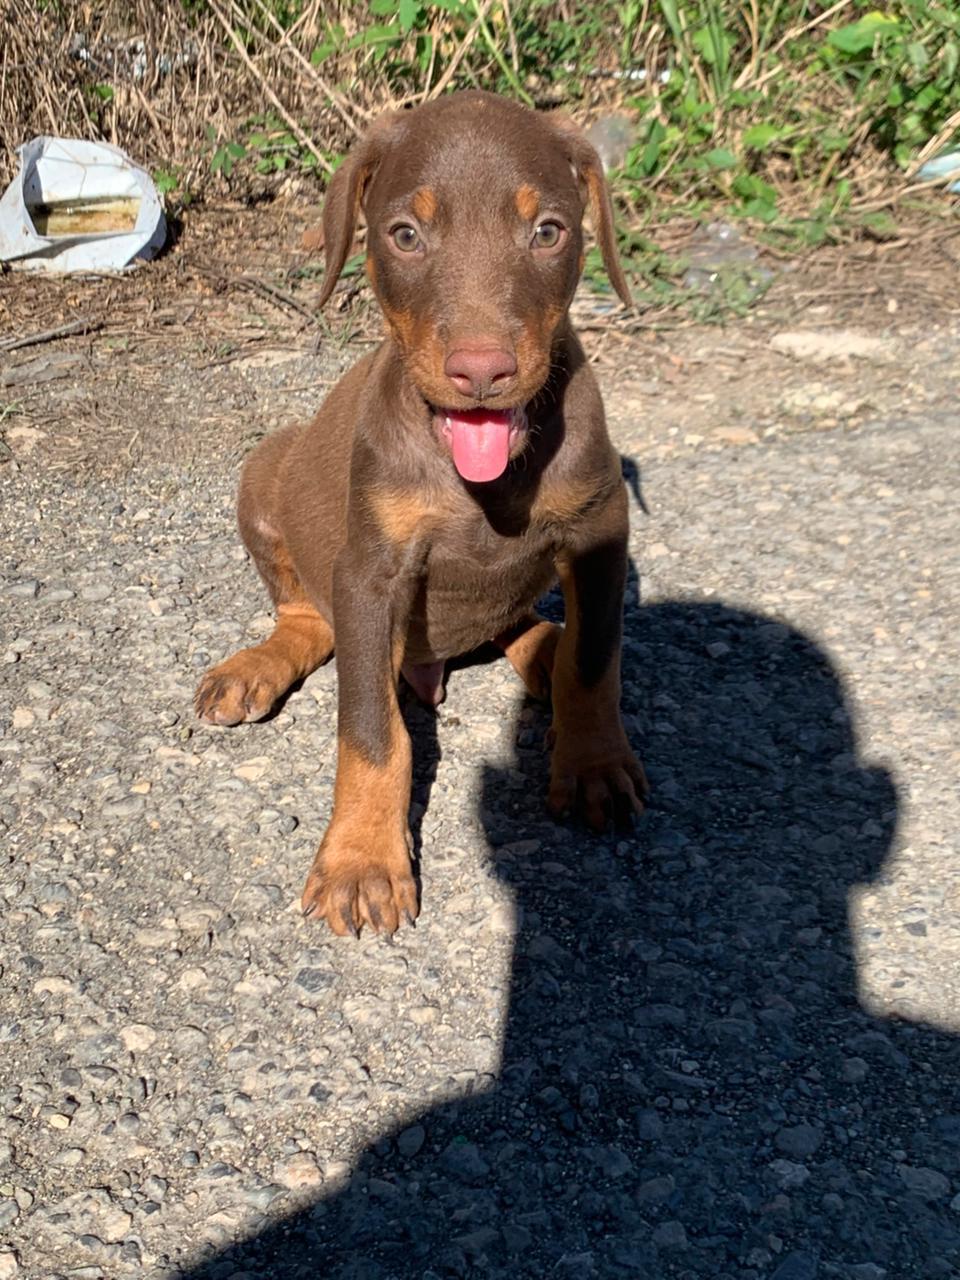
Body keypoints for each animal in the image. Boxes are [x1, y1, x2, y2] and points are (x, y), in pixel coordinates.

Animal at [193, 87, 647, 931]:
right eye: (405, 235)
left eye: (548, 231)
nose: (481, 371)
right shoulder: (372, 573)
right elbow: (374, 731)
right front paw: (363, 860)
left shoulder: (601, 531)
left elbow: (596, 661)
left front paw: (594, 760)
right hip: (266, 471)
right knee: (307, 617)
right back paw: (258, 664)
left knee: (525, 627)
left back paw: (543, 649)